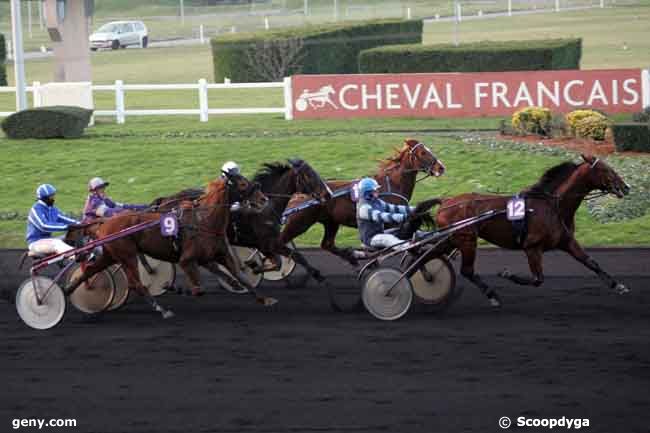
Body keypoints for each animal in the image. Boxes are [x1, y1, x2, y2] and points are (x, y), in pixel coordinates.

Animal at [67, 172, 274, 318]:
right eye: (243, 184)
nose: (264, 199)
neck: (204, 221)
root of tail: (104, 223)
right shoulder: (187, 260)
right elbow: (199, 290)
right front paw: (173, 287)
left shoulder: (218, 254)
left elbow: (242, 277)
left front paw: (265, 299)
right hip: (127, 255)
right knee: (136, 284)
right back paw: (162, 310)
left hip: (112, 254)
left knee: (90, 270)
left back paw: (70, 290)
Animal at [152, 159, 332, 280]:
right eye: (309, 176)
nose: (328, 194)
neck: (265, 209)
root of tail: (165, 200)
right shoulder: (267, 243)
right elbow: (281, 261)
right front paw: (252, 267)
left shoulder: (268, 243)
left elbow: (289, 258)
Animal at [278, 140, 446, 264]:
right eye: (423, 152)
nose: (441, 168)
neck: (392, 184)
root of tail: (297, 195)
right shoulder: (391, 224)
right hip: (299, 223)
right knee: (279, 242)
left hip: (331, 222)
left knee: (327, 244)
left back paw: (353, 257)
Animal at [436, 155, 628, 308]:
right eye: (605, 169)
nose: (625, 187)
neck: (553, 206)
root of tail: (446, 201)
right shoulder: (532, 247)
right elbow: (538, 279)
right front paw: (507, 273)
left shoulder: (566, 241)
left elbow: (591, 262)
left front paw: (618, 286)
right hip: (467, 240)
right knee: (467, 270)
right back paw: (492, 295)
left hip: (452, 239)